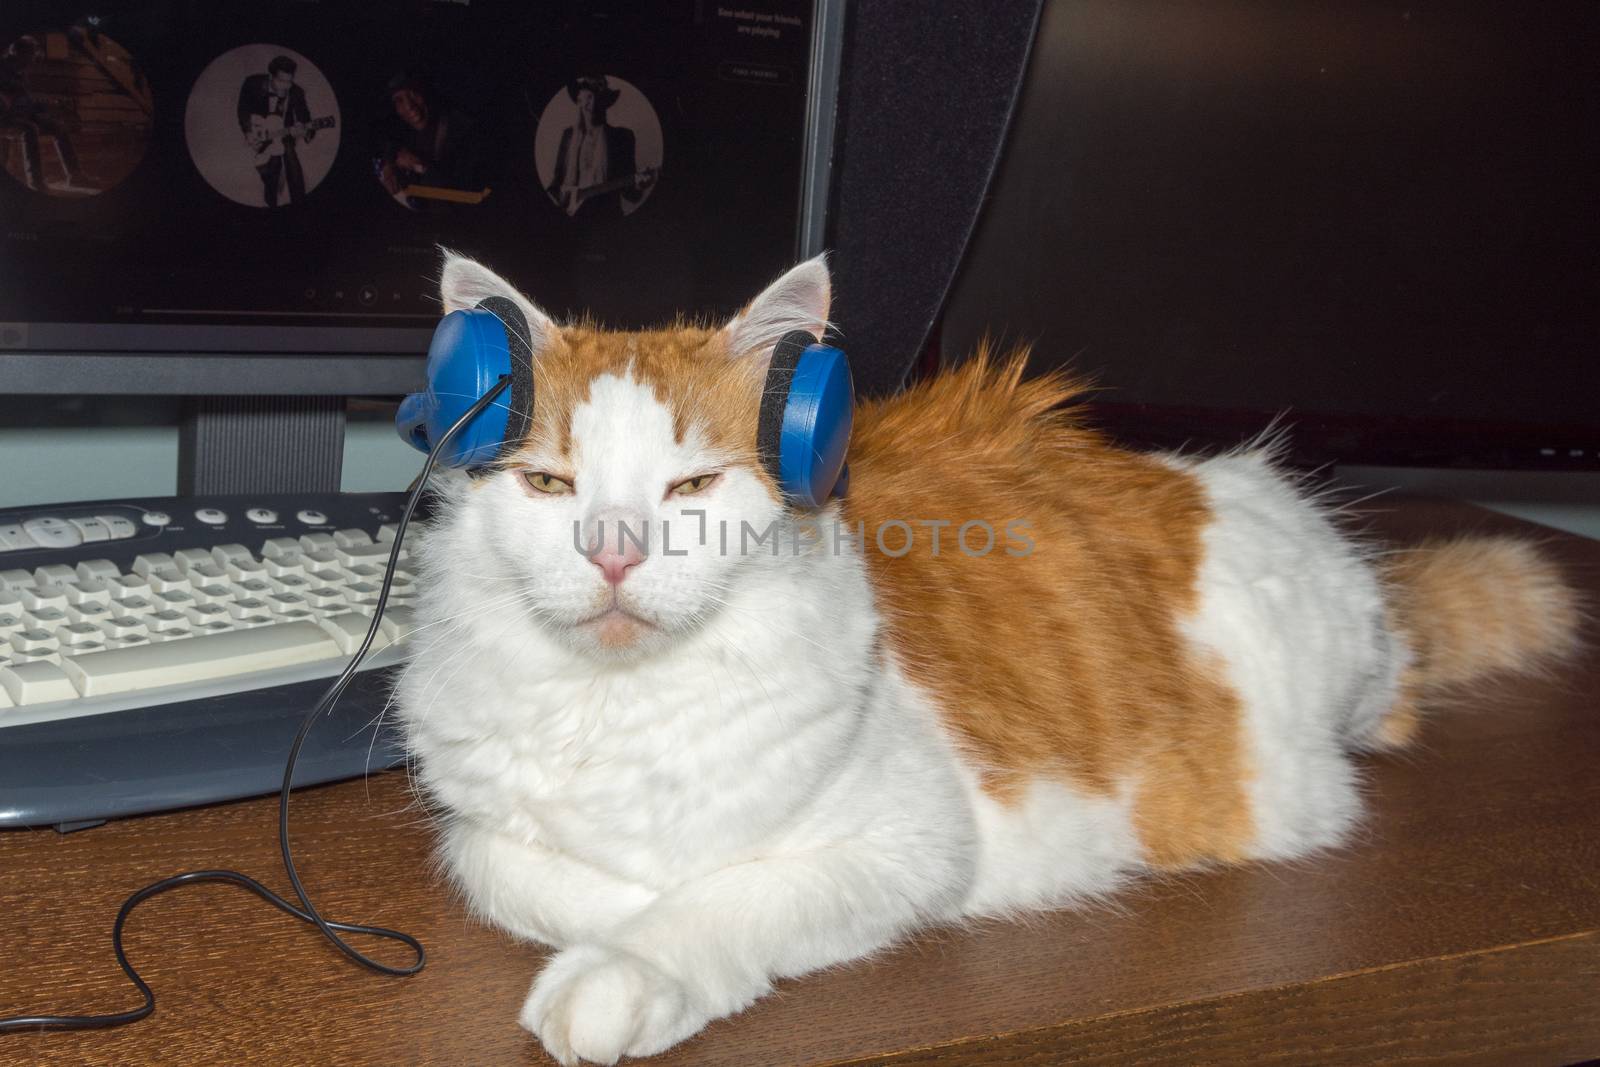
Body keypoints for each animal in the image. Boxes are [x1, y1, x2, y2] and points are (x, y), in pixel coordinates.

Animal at [396, 247, 1574, 1062]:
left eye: (691, 487)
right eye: (550, 485)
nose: (613, 551)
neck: (623, 704)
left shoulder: (916, 836)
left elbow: (725, 895)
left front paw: (628, 962)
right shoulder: (481, 831)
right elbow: (515, 870)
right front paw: (621, 905)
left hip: (1336, 687)